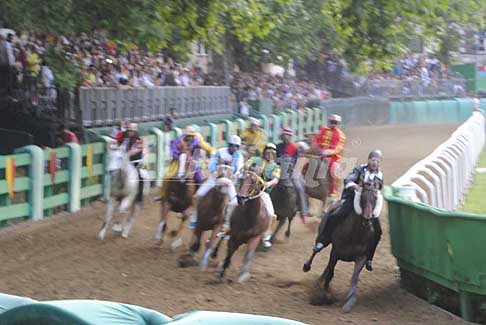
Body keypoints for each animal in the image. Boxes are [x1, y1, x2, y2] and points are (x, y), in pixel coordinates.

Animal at [304, 178, 380, 312]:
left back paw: (319, 281)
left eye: (375, 198)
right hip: (323, 236)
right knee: (316, 250)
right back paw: (308, 266)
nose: (367, 219)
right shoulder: (335, 252)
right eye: (362, 197)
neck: (355, 234)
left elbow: (354, 278)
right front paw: (323, 295)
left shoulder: (362, 257)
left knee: (327, 267)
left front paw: (350, 301)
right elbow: (330, 273)